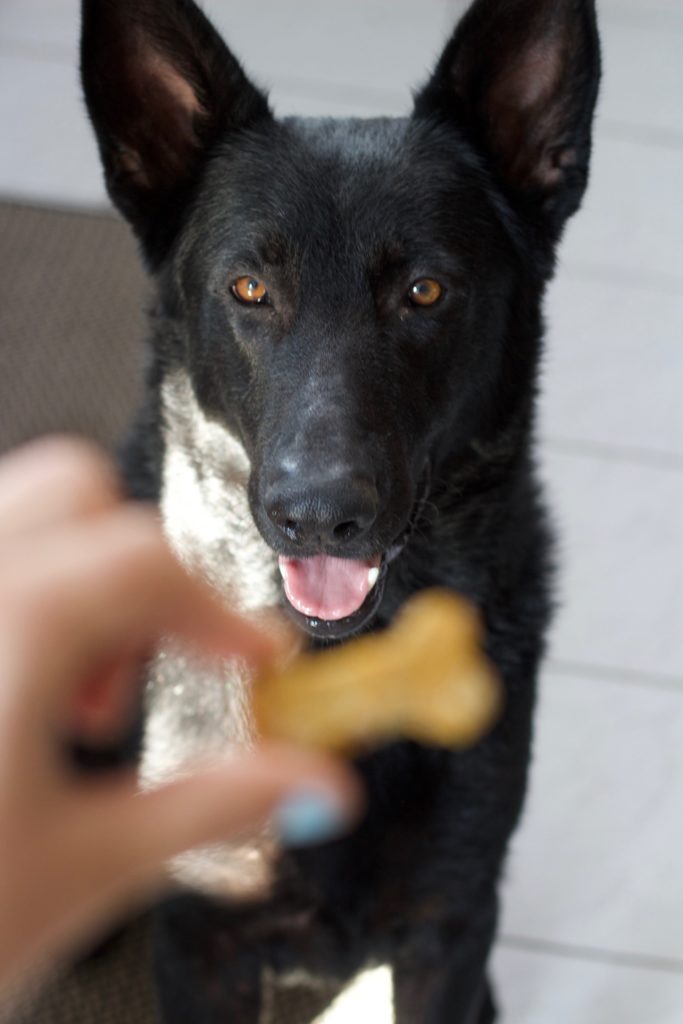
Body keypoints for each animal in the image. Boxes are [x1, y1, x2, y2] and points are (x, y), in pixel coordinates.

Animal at [80, 4, 602, 1019]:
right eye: (249, 289)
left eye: (423, 292)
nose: (320, 516)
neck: (337, 674)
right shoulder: (202, 938)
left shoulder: (448, 926)